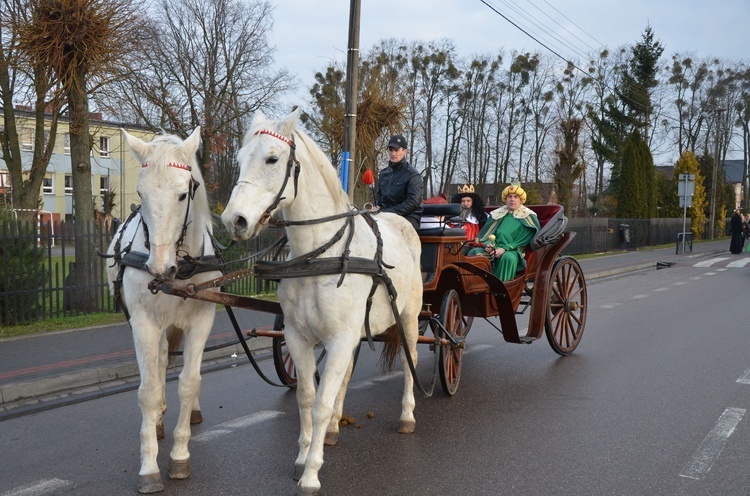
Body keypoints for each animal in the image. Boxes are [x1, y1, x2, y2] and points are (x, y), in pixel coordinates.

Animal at [107, 127, 222, 492]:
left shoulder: (202, 321)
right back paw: (158, 417)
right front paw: (149, 466)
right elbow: (148, 389)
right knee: (157, 366)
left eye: (183, 194)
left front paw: (179, 456)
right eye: (140, 193)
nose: (159, 267)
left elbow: (190, 382)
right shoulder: (144, 324)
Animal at [220, 110, 426, 494]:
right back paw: (331, 428)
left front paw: (312, 473)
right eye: (240, 160)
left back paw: (407, 414)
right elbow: (307, 398)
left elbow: (321, 403)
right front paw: (304, 456)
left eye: (272, 159)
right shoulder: (299, 337)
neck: (319, 254)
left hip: (408, 316)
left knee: (411, 363)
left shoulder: (340, 337)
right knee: (344, 376)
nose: (234, 220)